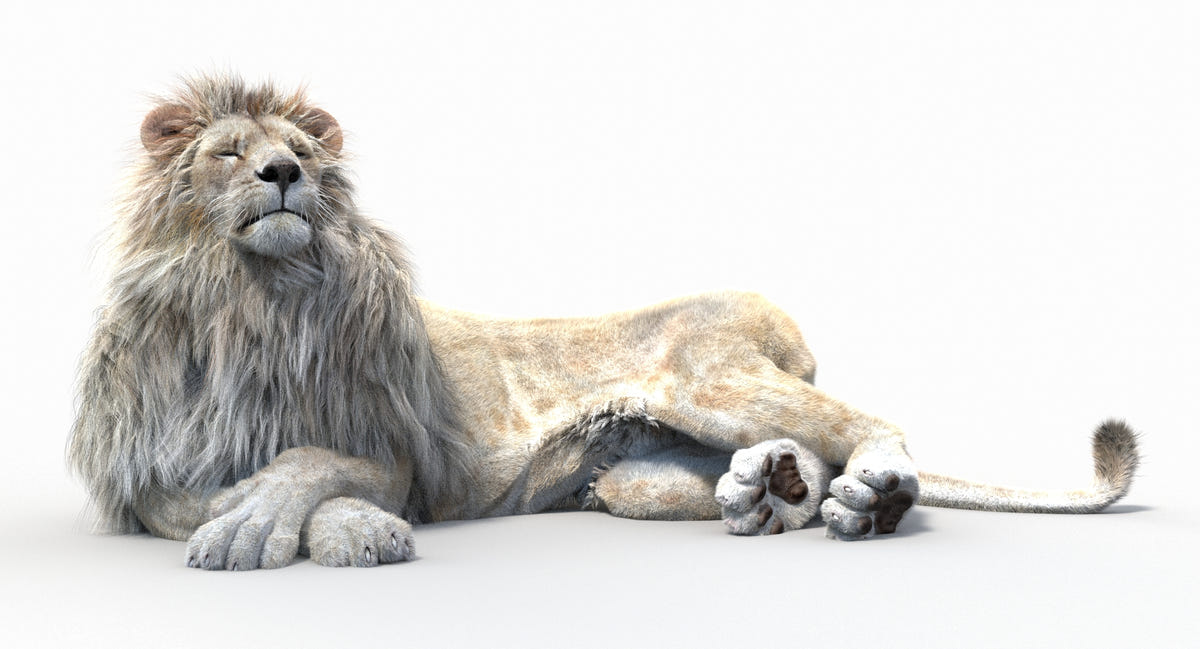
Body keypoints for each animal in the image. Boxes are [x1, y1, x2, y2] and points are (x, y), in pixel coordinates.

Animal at [68, 75, 1140, 569]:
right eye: (228, 152)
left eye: (298, 147)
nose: (284, 172)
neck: (251, 304)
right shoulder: (149, 461)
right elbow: (194, 500)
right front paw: (286, 527)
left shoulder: (398, 449)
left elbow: (311, 464)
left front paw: (309, 526)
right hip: (629, 474)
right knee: (778, 461)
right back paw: (770, 491)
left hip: (713, 378)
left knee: (872, 424)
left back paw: (866, 494)